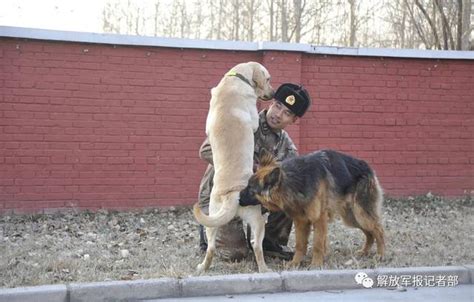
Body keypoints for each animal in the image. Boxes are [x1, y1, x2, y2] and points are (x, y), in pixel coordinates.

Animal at [193, 61, 274, 274]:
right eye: (268, 79)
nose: (273, 93)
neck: (236, 78)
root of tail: (232, 195)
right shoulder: (253, 120)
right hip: (258, 218)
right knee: (256, 246)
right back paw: (264, 269)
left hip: (213, 217)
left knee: (211, 247)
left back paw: (203, 267)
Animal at [241, 150, 386, 268]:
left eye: (251, 190)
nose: (238, 198)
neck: (295, 181)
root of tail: (367, 166)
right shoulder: (300, 221)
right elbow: (300, 245)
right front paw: (295, 263)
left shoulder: (319, 220)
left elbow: (317, 244)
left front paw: (316, 264)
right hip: (352, 218)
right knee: (369, 233)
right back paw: (365, 252)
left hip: (361, 215)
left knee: (379, 230)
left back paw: (381, 254)